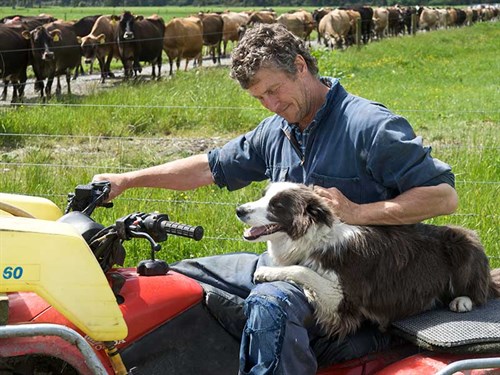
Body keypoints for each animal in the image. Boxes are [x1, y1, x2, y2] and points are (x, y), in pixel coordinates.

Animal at [236, 184, 498, 340]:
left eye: (277, 205)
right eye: (263, 196)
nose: (239, 210)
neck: (316, 237)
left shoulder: (344, 297)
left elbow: (303, 271)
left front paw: (267, 272)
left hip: (464, 241)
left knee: (481, 293)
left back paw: (462, 301)